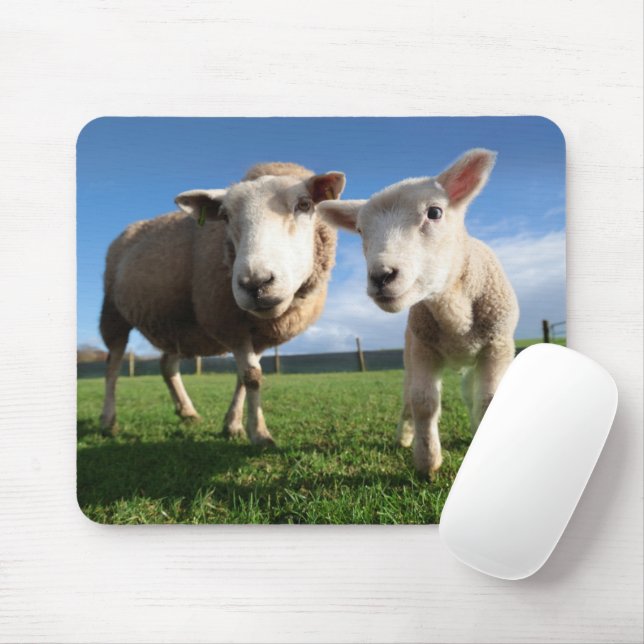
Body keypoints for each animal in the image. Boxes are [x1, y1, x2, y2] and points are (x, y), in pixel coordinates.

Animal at [99, 162, 345, 445]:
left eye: (304, 205)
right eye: (225, 216)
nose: (255, 283)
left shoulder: (258, 333)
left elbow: (245, 376)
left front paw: (233, 425)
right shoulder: (229, 323)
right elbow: (252, 377)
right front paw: (259, 434)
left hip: (177, 322)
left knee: (167, 365)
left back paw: (187, 412)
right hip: (113, 313)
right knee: (112, 366)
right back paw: (108, 421)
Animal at [318, 149, 519, 478]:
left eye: (435, 213)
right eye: (360, 230)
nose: (381, 276)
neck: (454, 311)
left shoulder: (497, 346)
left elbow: (488, 401)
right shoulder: (424, 349)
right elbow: (423, 402)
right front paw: (427, 461)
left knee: (470, 394)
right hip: (409, 353)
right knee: (407, 398)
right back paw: (404, 436)